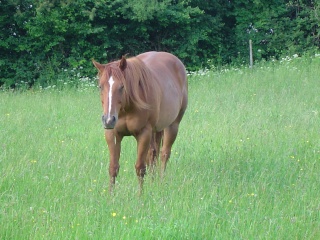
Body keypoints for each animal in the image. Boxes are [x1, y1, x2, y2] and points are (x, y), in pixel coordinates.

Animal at [92, 51, 188, 192]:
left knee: (164, 154)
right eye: (100, 86)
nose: (108, 120)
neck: (127, 108)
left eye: (122, 86)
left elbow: (140, 168)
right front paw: (111, 195)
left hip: (172, 126)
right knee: (153, 154)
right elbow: (113, 167)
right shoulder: (112, 134)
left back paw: (160, 182)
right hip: (156, 131)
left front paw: (140, 195)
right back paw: (153, 183)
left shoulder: (144, 133)